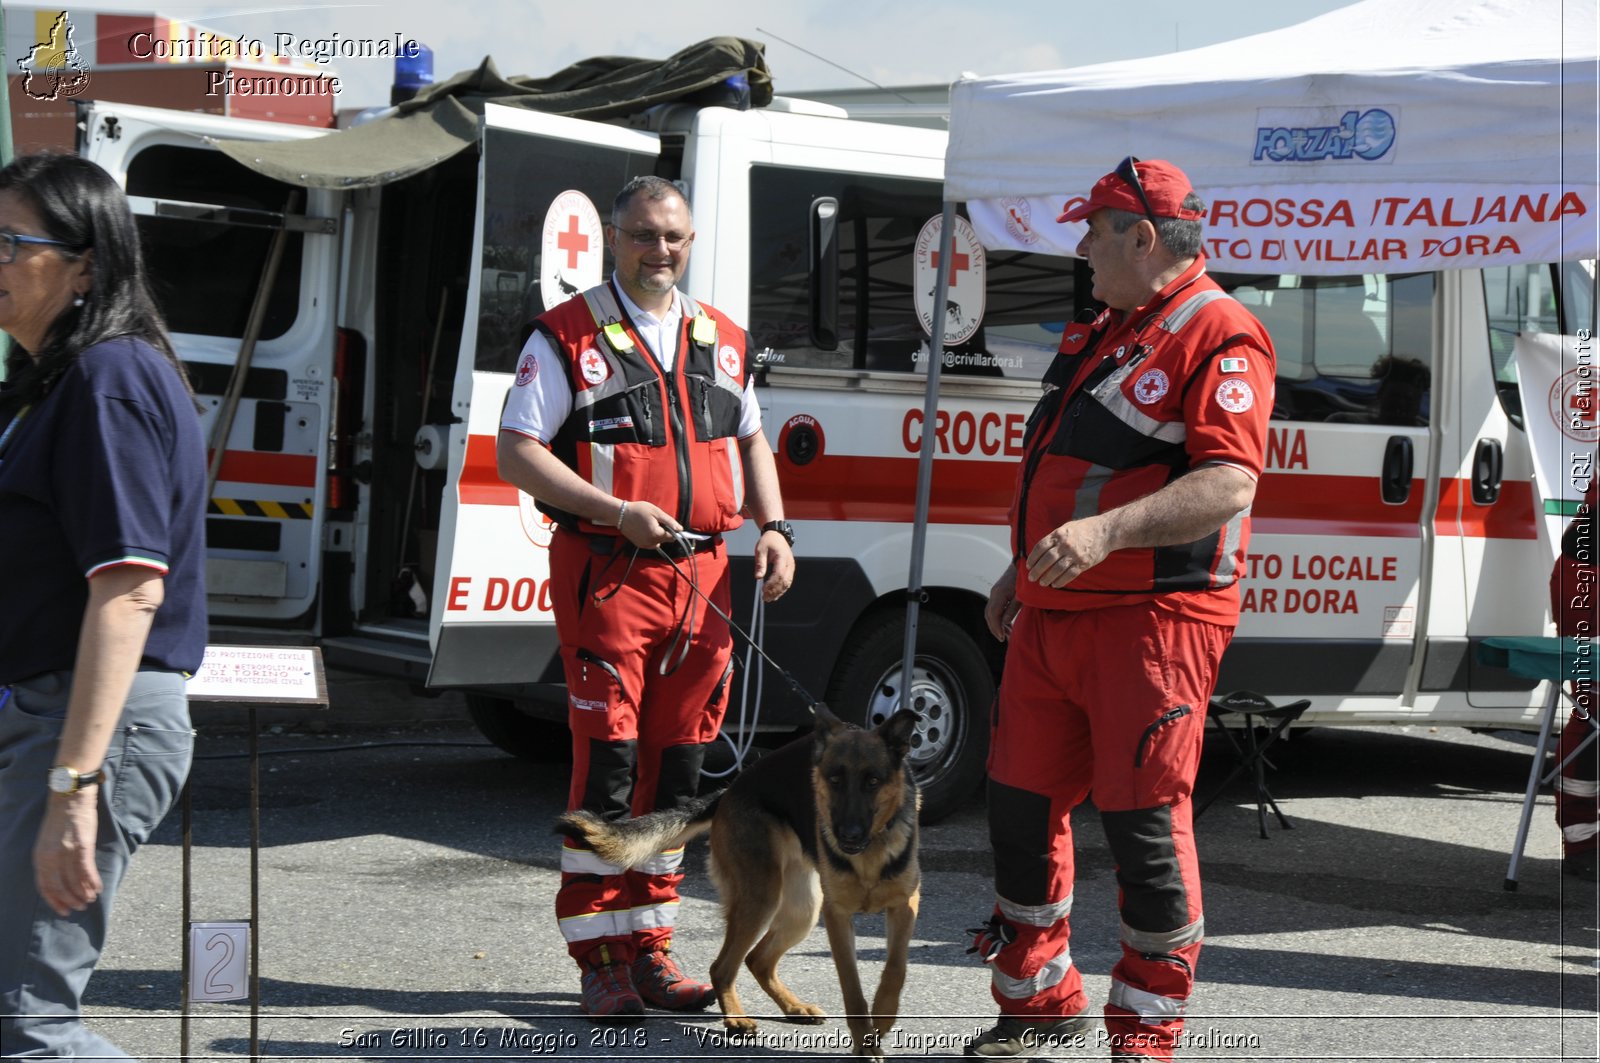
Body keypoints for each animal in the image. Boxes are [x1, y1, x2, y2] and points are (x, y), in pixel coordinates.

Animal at [556, 704, 921, 1056]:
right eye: (834, 780)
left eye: (873, 781)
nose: (848, 835)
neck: (870, 854)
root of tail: (732, 786)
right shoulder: (838, 918)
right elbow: (852, 987)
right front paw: (866, 1041)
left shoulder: (905, 906)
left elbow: (897, 968)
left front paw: (883, 1017)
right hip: (763, 898)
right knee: (723, 966)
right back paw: (735, 1018)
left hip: (802, 911)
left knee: (757, 960)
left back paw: (793, 1007)